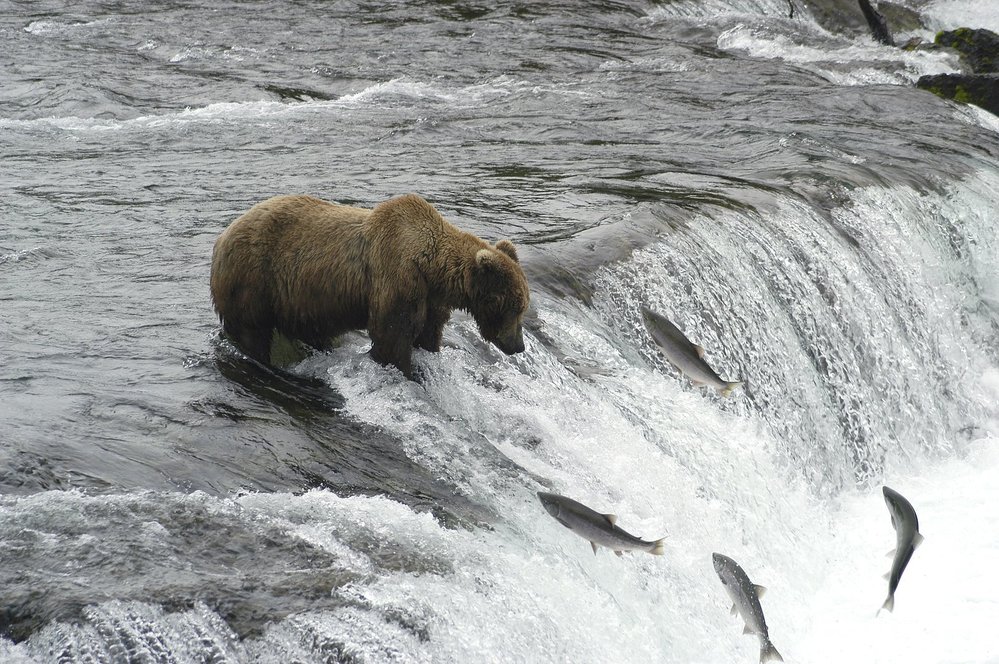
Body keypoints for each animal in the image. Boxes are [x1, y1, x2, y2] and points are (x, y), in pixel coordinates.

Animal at [207, 192, 528, 378]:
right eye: (514, 308)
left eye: (523, 307)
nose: (519, 346)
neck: (432, 268)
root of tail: (221, 237)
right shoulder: (396, 277)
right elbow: (391, 336)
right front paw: (404, 370)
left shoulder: (431, 299)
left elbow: (428, 333)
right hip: (253, 279)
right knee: (252, 331)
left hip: (300, 300)